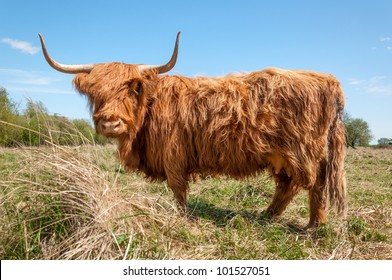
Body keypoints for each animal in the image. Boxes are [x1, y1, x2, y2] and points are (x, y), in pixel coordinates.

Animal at [39, 32, 346, 228]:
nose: (109, 122)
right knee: (288, 185)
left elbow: (178, 189)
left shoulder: (173, 154)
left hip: (303, 150)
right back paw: (268, 216)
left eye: (134, 87)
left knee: (315, 181)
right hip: (281, 155)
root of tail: (328, 79)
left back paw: (314, 226)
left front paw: (182, 217)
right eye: (95, 91)